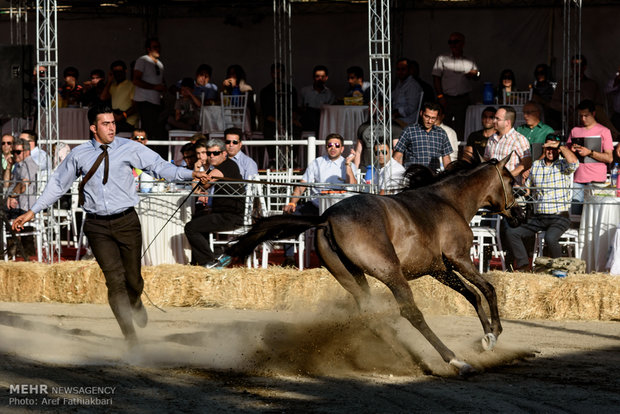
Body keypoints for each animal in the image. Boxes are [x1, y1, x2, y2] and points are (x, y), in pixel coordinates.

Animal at [225, 155, 520, 376]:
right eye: (511, 181)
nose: (519, 214)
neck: (448, 202)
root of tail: (326, 218)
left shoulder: (439, 269)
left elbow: (472, 295)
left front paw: (486, 338)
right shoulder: (459, 259)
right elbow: (488, 289)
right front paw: (494, 334)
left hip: (352, 276)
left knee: (369, 314)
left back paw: (403, 356)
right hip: (391, 273)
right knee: (411, 312)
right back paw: (455, 360)